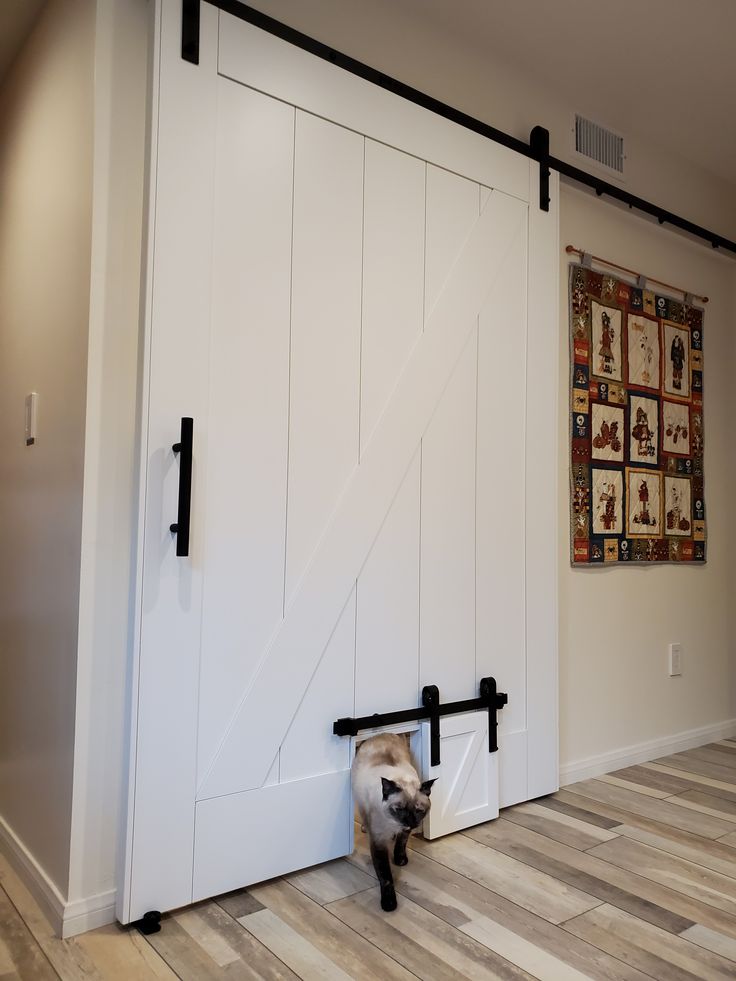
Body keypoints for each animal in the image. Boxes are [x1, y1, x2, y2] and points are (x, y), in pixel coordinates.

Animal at [350, 728, 434, 912]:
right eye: (399, 809)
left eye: (419, 811)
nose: (411, 822)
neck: (394, 825)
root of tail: (381, 733)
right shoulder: (378, 841)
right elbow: (386, 876)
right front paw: (389, 904)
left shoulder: (405, 831)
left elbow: (401, 844)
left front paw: (400, 860)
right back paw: (365, 828)